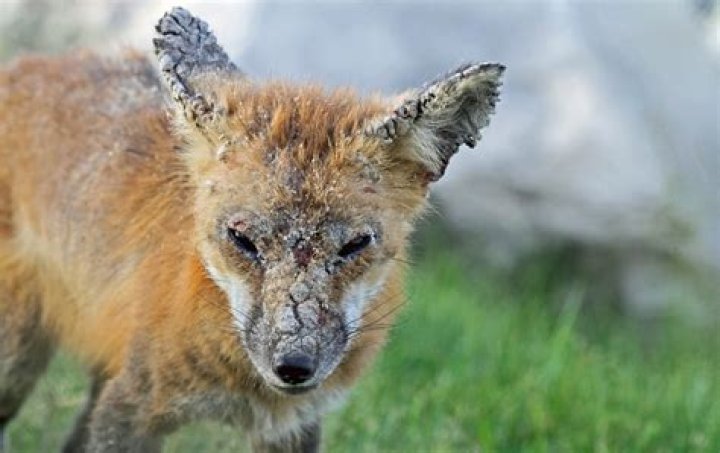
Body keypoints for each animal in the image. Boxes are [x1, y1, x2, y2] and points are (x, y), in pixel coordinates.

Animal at [0, 6, 503, 452]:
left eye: (354, 245)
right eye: (242, 240)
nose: (294, 364)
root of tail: (30, 62)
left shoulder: (290, 426)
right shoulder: (132, 405)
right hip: (17, 360)